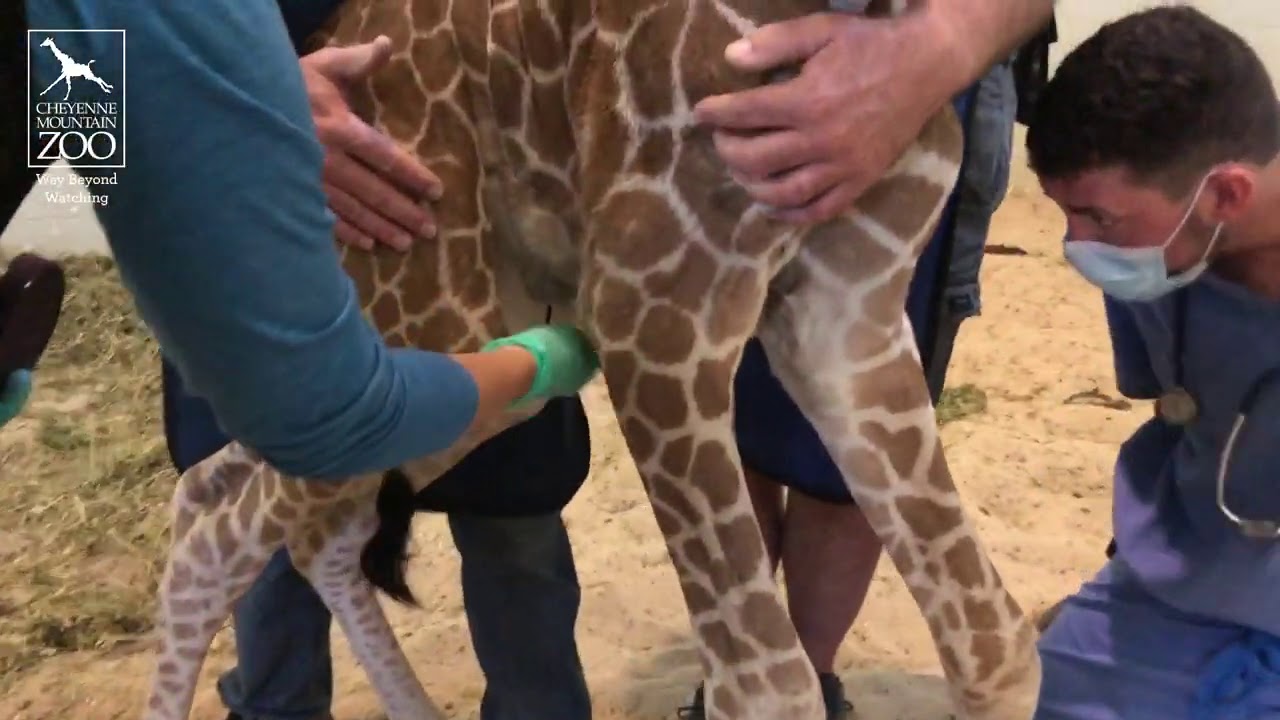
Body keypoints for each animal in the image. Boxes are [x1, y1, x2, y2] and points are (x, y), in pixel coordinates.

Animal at [142, 0, 1043, 719]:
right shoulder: (656, 315)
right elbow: (766, 685)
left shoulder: (849, 311)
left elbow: (994, 643)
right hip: (426, 309)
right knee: (225, 528)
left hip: (478, 349)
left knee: (252, 504)